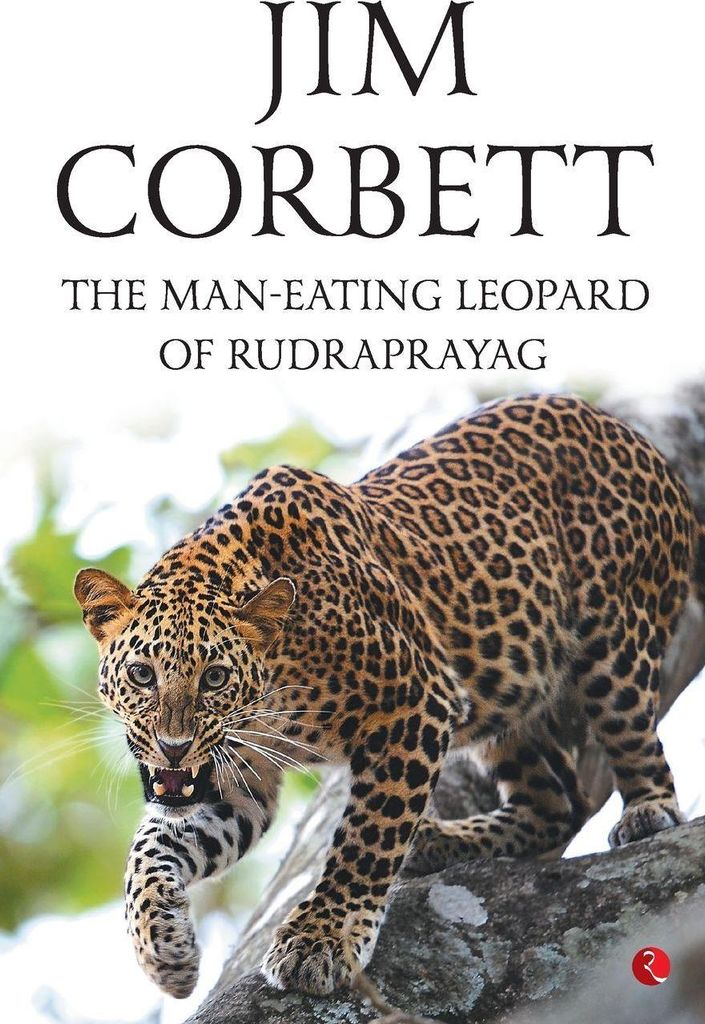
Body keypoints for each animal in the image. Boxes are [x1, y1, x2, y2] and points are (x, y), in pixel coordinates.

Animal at [74, 394, 705, 1000]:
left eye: (214, 678)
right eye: (141, 674)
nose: (173, 747)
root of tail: (641, 443)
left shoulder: (415, 702)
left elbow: (368, 835)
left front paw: (321, 938)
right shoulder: (239, 775)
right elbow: (151, 848)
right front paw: (162, 948)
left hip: (613, 645)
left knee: (634, 743)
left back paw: (646, 812)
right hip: (508, 694)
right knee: (558, 801)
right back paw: (442, 841)